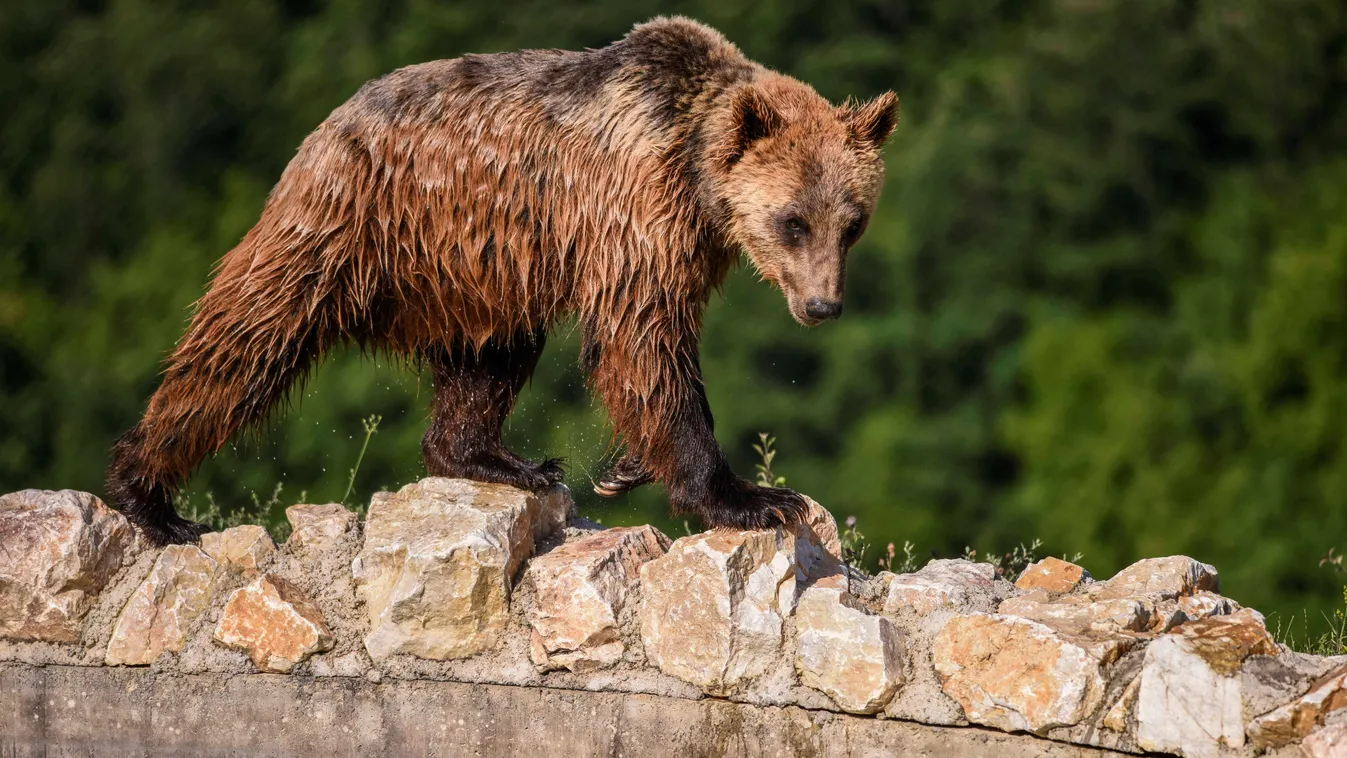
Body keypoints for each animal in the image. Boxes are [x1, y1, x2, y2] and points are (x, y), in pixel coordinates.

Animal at [110, 16, 899, 546]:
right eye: (793, 220)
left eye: (852, 222)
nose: (822, 304)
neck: (698, 169)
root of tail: (327, 124)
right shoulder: (636, 207)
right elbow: (643, 337)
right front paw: (754, 497)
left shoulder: (689, 240)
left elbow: (641, 353)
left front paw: (624, 468)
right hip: (356, 222)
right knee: (249, 339)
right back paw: (150, 496)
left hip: (479, 266)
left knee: (491, 352)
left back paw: (501, 460)